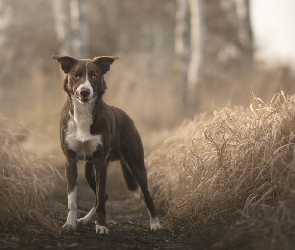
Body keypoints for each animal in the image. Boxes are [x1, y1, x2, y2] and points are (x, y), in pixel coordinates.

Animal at [51, 54, 162, 234]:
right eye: (76, 76)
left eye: (95, 76)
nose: (84, 91)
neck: (83, 114)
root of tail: (127, 117)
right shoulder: (71, 161)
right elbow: (72, 200)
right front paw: (70, 224)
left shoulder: (100, 162)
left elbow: (101, 198)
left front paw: (101, 226)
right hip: (89, 170)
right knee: (102, 196)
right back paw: (85, 220)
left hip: (136, 164)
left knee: (146, 196)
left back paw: (155, 223)